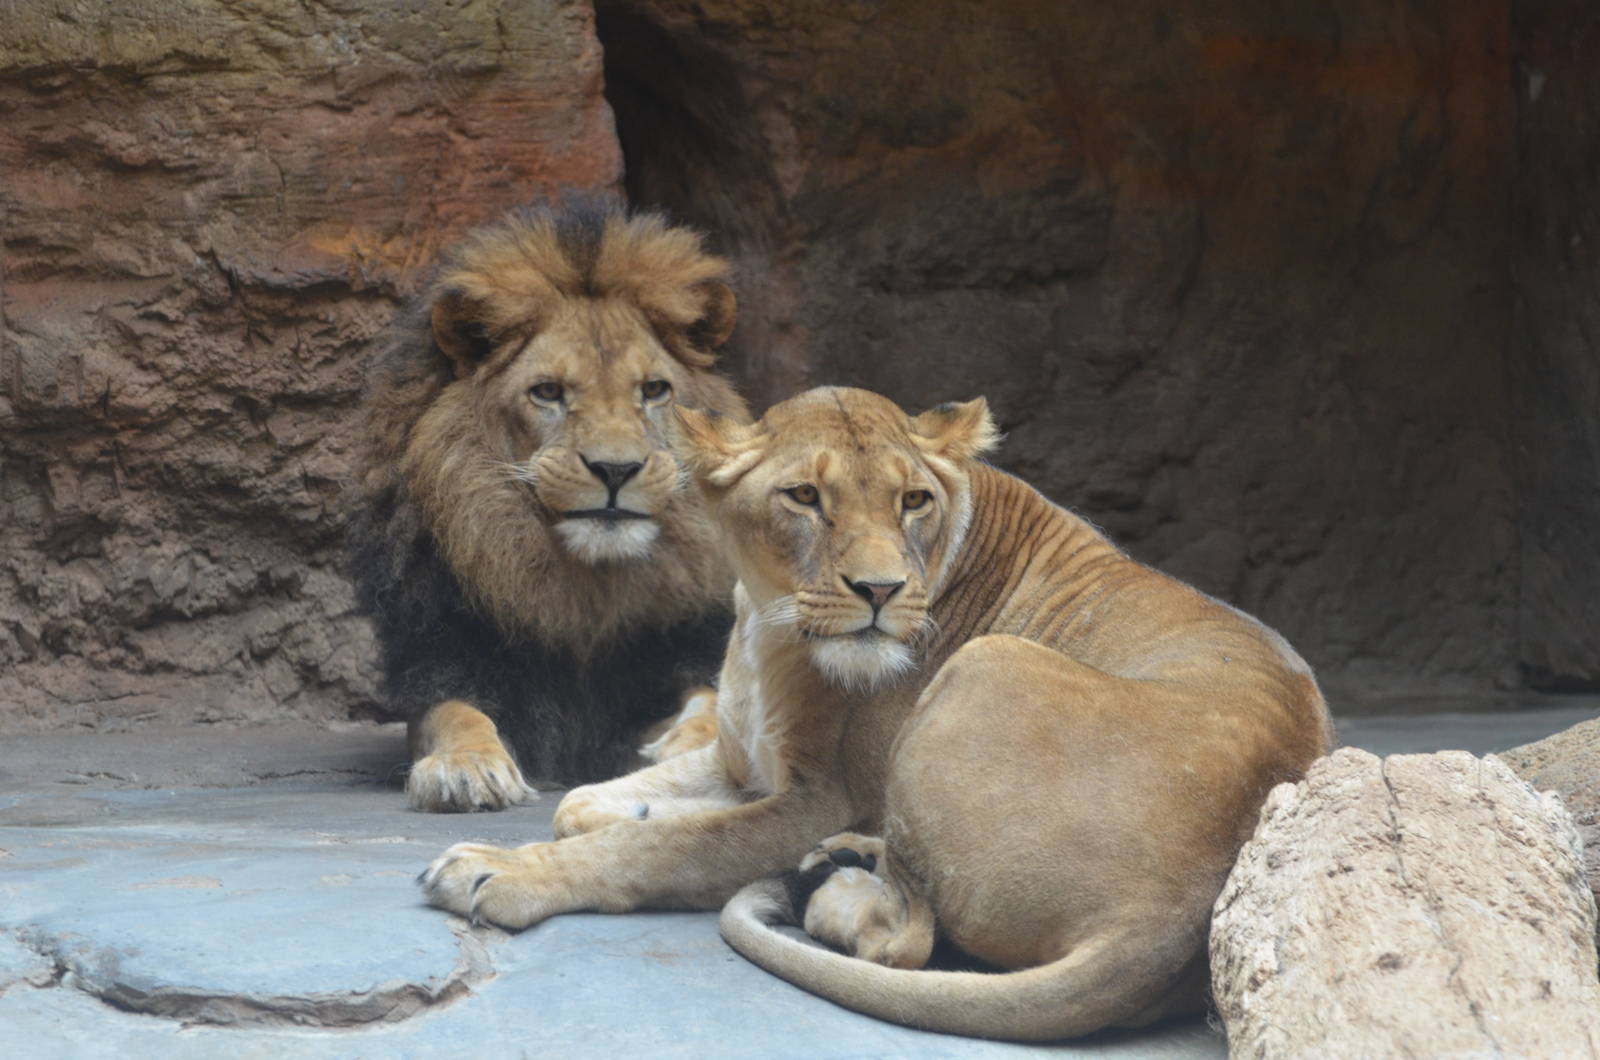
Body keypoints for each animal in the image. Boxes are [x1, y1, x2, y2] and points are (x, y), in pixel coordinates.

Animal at [346, 199, 750, 812]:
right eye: (548, 393)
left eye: (654, 391)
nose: (615, 470)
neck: (582, 593)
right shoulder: (449, 662)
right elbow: (453, 715)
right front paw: (465, 768)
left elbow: (710, 704)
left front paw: (691, 754)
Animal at [418, 386, 1332, 1040]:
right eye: (804, 496)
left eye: (913, 502)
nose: (881, 591)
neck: (770, 622)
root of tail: (1168, 921)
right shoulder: (742, 762)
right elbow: (585, 803)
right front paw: (612, 807)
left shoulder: (823, 796)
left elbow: (667, 847)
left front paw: (500, 871)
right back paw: (842, 862)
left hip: (987, 663)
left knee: (910, 938)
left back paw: (829, 881)